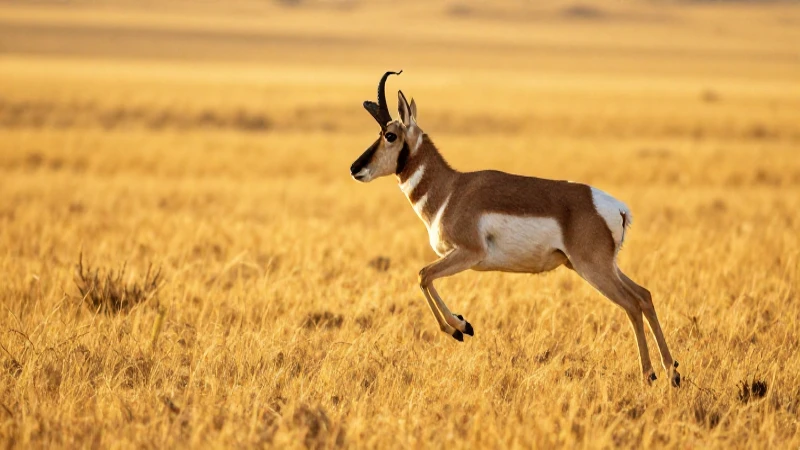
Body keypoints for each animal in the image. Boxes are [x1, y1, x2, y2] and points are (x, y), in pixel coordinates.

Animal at [350, 71, 680, 387]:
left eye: (390, 135)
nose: (356, 168)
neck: (450, 191)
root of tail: (617, 208)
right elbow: (424, 276)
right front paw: (462, 325)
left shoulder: (468, 254)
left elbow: (423, 275)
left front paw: (461, 327)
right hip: (596, 266)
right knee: (644, 295)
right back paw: (672, 373)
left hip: (594, 269)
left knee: (631, 304)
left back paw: (649, 374)